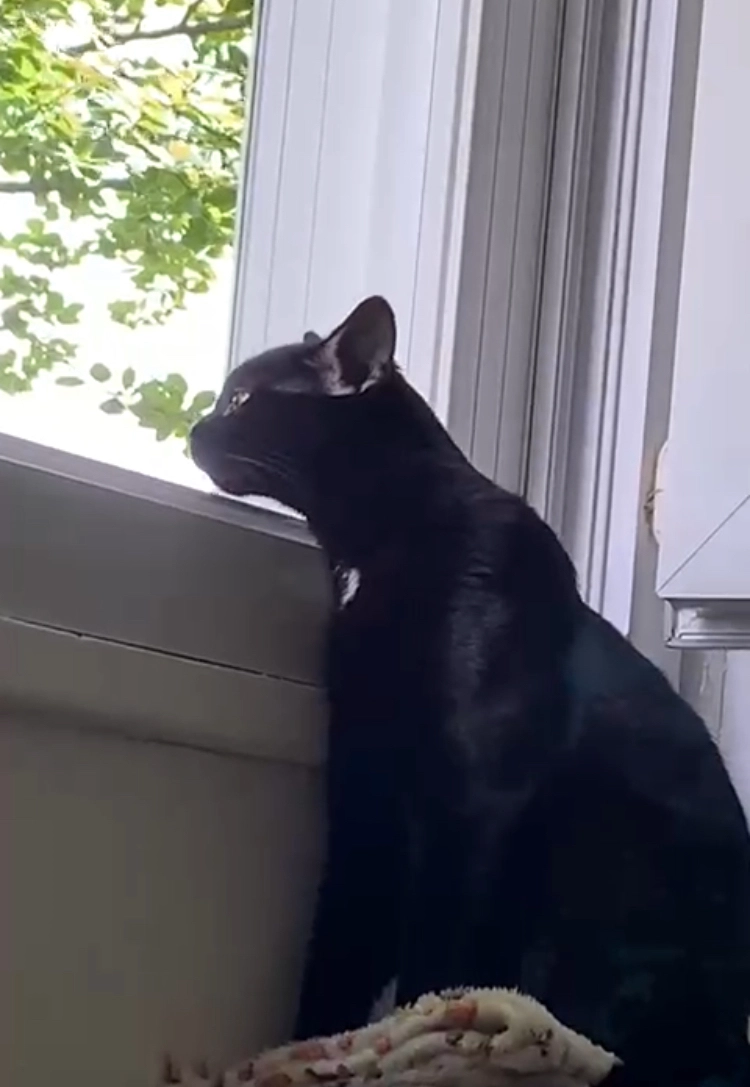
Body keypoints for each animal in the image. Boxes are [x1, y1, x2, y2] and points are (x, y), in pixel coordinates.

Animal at [190, 297, 750, 1087]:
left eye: (240, 398)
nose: (194, 428)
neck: (368, 546)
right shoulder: (363, 792)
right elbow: (340, 938)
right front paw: (315, 1048)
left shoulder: (469, 800)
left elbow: (436, 946)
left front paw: (419, 1032)